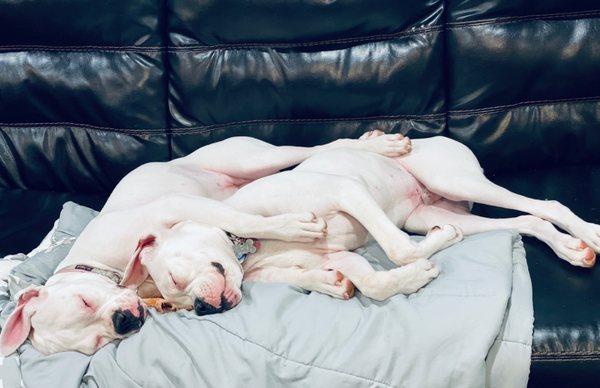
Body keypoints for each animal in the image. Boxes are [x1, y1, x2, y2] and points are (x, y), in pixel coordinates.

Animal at [1, 135, 404, 356]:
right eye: (96, 344)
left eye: (85, 301)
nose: (123, 321)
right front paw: (328, 279)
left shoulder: (174, 207)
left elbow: (245, 221)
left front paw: (293, 227)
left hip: (251, 158)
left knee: (316, 145)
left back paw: (380, 143)